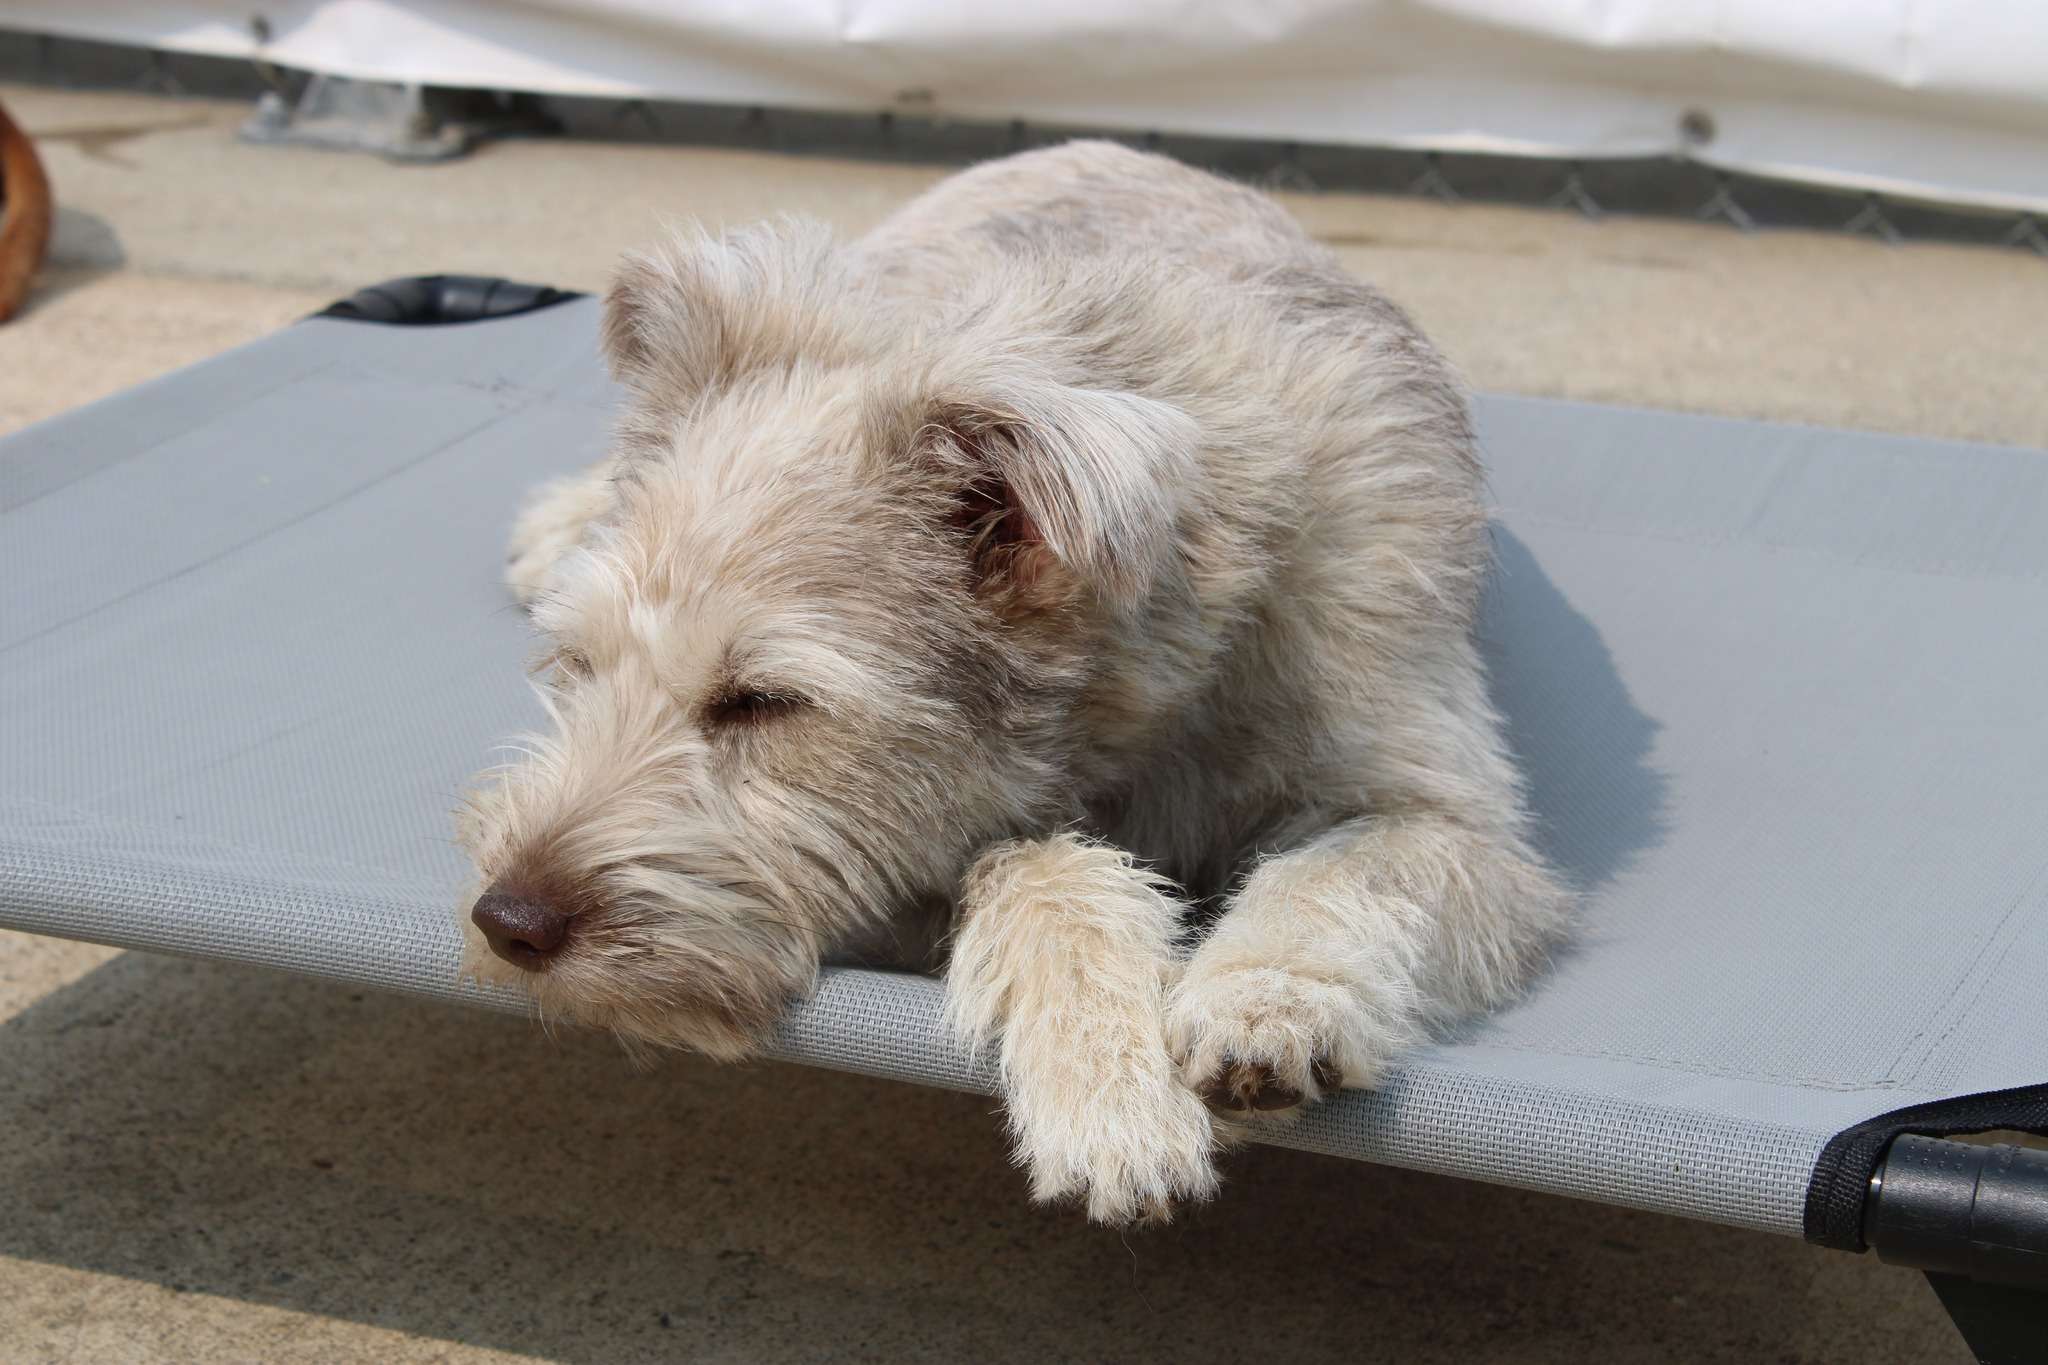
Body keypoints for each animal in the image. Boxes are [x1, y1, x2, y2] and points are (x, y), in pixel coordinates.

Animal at [456, 141, 1564, 1227]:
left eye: (762, 702)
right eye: (580, 667)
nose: (507, 924)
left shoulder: (1456, 822)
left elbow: (1342, 868)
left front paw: (1266, 997)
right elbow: (1032, 864)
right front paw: (1105, 1080)